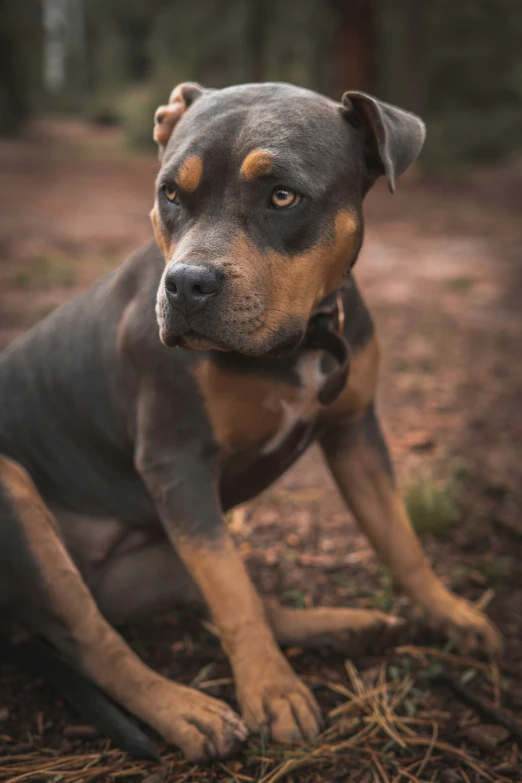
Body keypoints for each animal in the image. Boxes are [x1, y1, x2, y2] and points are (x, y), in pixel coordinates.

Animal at [0, 81, 500, 760]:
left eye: (282, 195)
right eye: (170, 194)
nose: (186, 284)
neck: (302, 340)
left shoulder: (355, 431)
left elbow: (399, 539)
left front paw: (449, 614)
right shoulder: (178, 465)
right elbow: (232, 594)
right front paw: (272, 691)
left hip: (161, 555)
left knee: (216, 597)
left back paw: (343, 626)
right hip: (18, 494)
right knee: (94, 640)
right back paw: (186, 710)